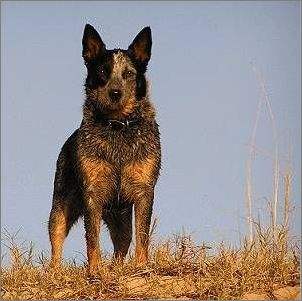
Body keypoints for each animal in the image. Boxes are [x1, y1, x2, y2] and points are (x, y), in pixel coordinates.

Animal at [47, 23, 160, 276]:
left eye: (128, 73)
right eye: (102, 71)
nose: (115, 92)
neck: (117, 126)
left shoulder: (144, 191)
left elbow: (142, 235)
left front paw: (142, 267)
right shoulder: (93, 193)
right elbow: (92, 238)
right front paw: (95, 270)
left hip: (119, 213)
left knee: (123, 241)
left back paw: (117, 267)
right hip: (61, 205)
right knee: (56, 239)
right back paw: (55, 273)